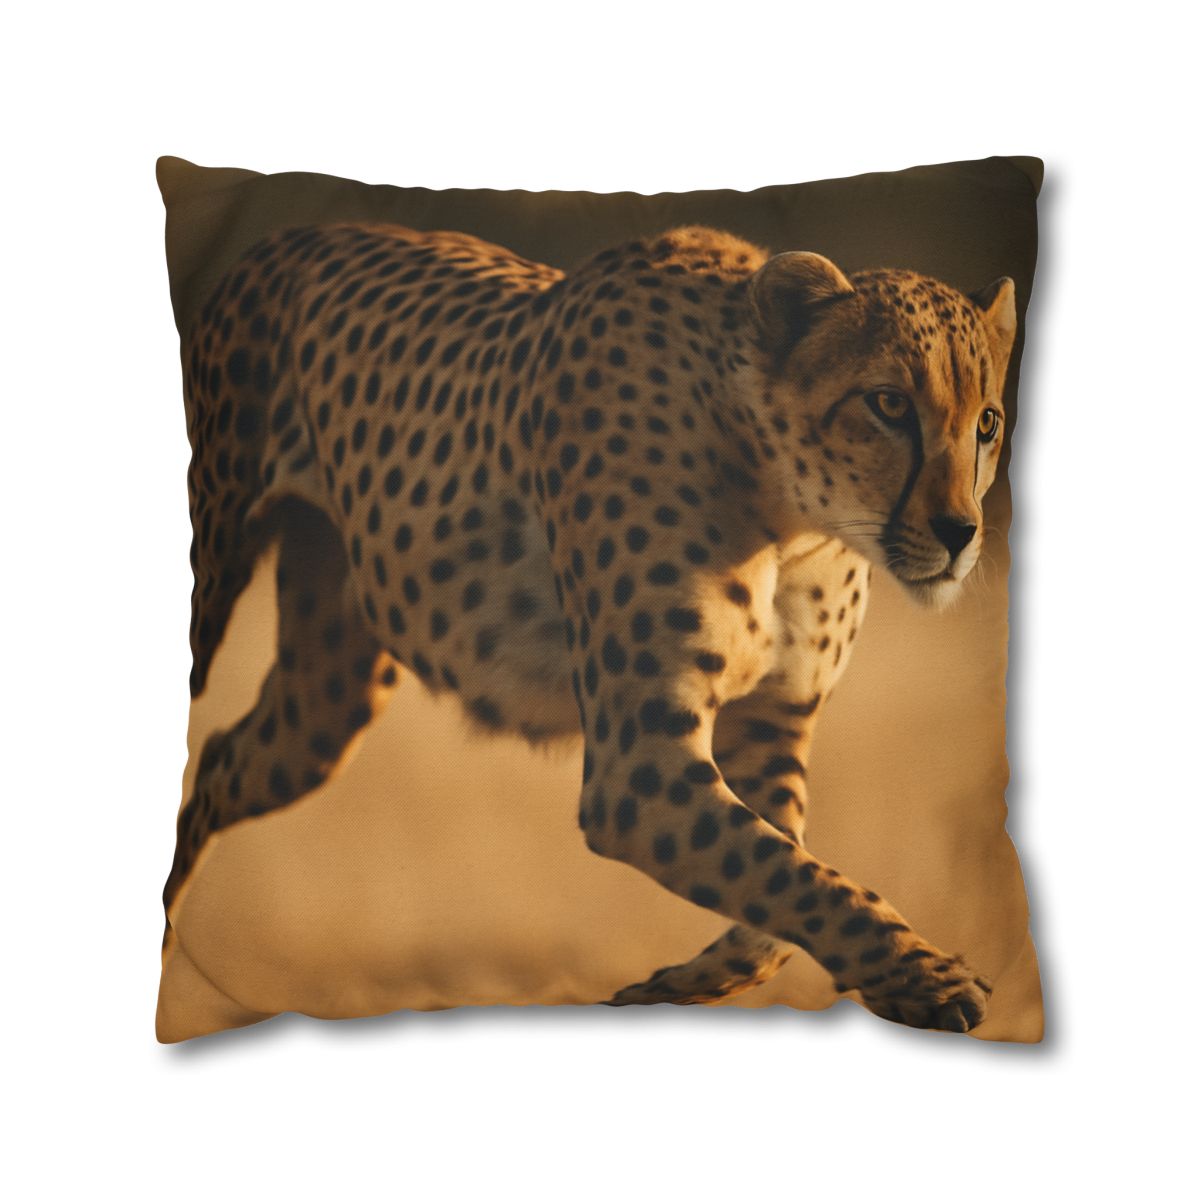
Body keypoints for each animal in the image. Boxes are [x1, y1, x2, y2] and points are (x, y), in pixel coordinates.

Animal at [166, 220, 1016, 1033]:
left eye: (987, 424)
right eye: (889, 404)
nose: (960, 533)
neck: (790, 513)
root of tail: (282, 239)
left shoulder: (772, 725)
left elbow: (783, 884)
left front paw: (673, 987)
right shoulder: (636, 770)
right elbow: (796, 876)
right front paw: (931, 980)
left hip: (325, 702)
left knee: (220, 758)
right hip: (215, 578)